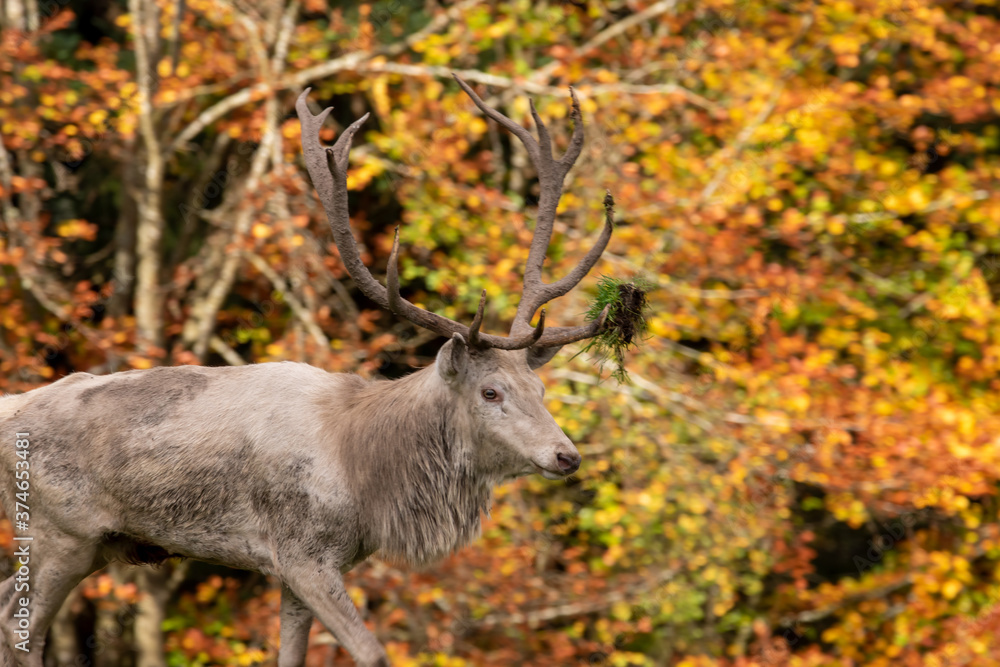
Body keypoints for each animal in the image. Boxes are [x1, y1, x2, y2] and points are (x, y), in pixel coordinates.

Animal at [0, 74, 614, 667]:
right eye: (490, 392)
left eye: (540, 388)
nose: (568, 455)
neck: (365, 475)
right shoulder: (300, 551)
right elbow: (371, 652)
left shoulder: (306, 567)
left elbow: (290, 655)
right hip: (63, 529)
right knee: (20, 626)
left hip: (94, 543)